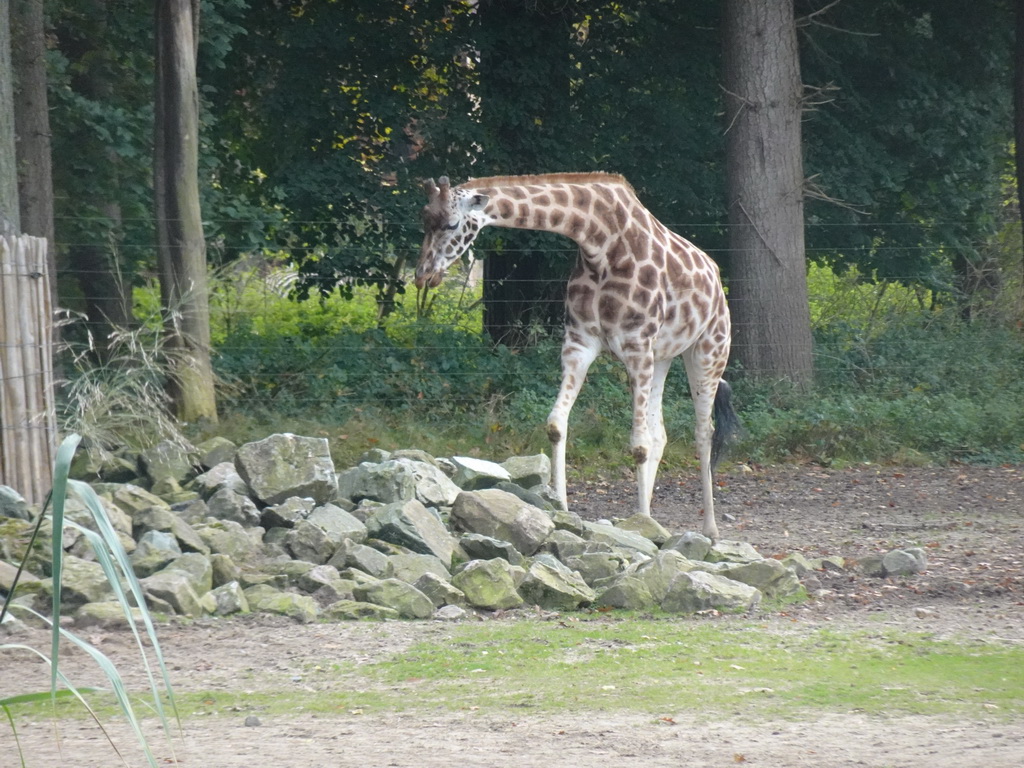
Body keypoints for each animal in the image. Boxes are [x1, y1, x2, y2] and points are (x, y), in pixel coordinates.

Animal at [411, 174, 741, 540]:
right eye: (424, 219)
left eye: (452, 223)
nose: (423, 275)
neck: (600, 242)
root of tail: (715, 276)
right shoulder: (580, 343)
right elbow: (557, 424)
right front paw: (565, 508)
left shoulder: (636, 345)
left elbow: (638, 444)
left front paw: (641, 527)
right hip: (662, 357)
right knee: (661, 434)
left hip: (709, 350)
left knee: (704, 431)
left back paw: (709, 528)